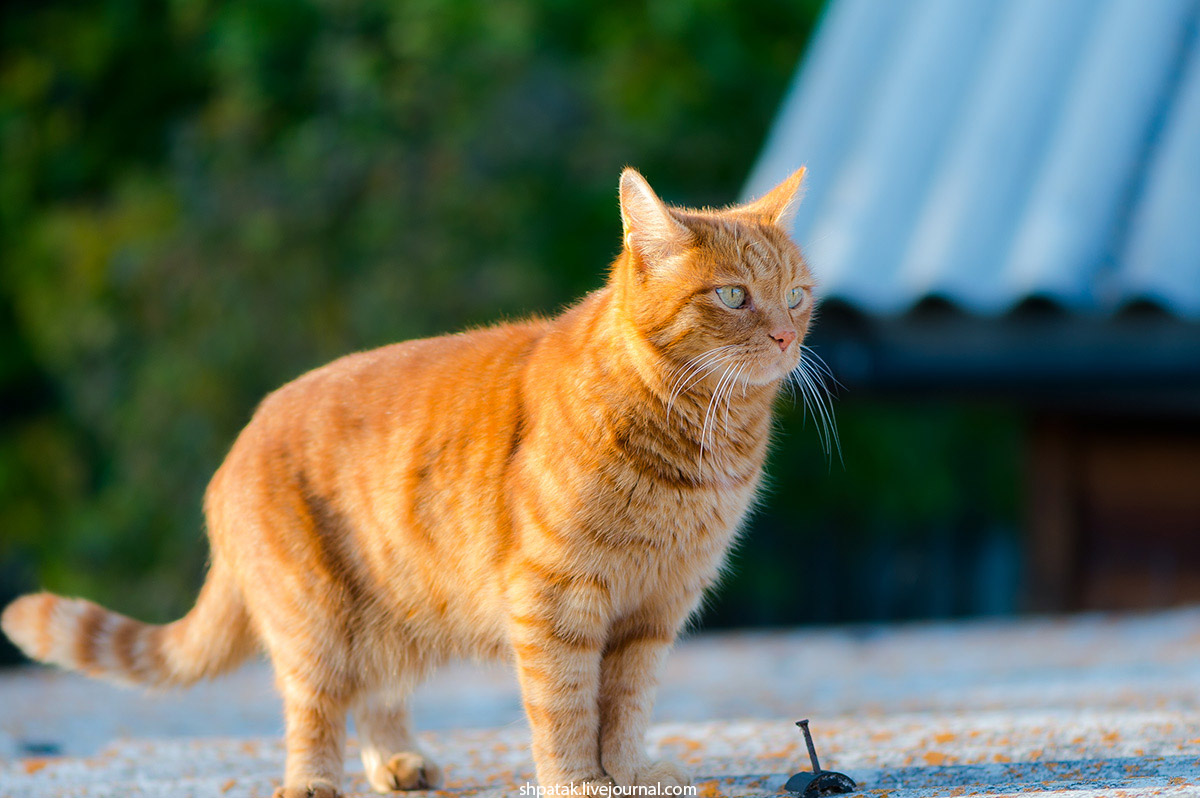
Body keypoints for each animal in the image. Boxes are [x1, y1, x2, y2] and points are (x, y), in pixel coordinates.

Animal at [0, 164, 816, 792]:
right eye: (733, 296)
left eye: (797, 296)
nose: (785, 335)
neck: (697, 444)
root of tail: (243, 436)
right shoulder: (556, 600)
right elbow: (567, 707)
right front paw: (580, 782)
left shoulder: (655, 609)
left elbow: (627, 705)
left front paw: (630, 773)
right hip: (315, 617)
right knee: (315, 707)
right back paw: (312, 782)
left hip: (394, 615)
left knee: (377, 697)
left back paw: (397, 764)